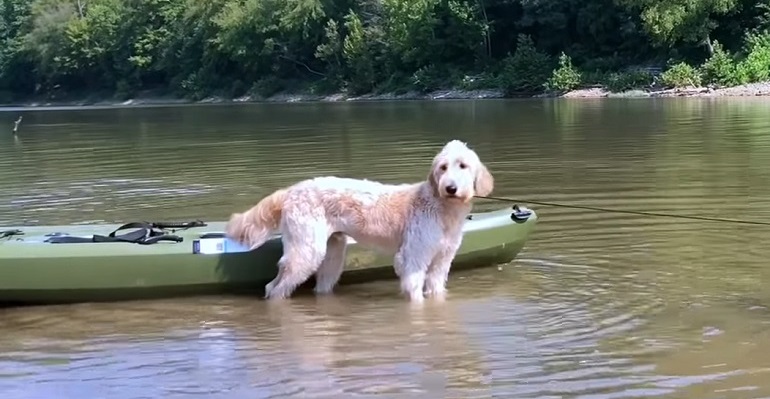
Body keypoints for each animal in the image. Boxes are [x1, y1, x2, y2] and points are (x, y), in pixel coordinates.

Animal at [225, 139, 496, 302]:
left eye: (463, 166)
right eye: (442, 168)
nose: (450, 188)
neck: (441, 207)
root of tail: (292, 190)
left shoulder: (442, 260)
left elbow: (437, 288)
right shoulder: (413, 256)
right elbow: (415, 292)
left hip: (331, 256)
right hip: (306, 252)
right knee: (274, 288)